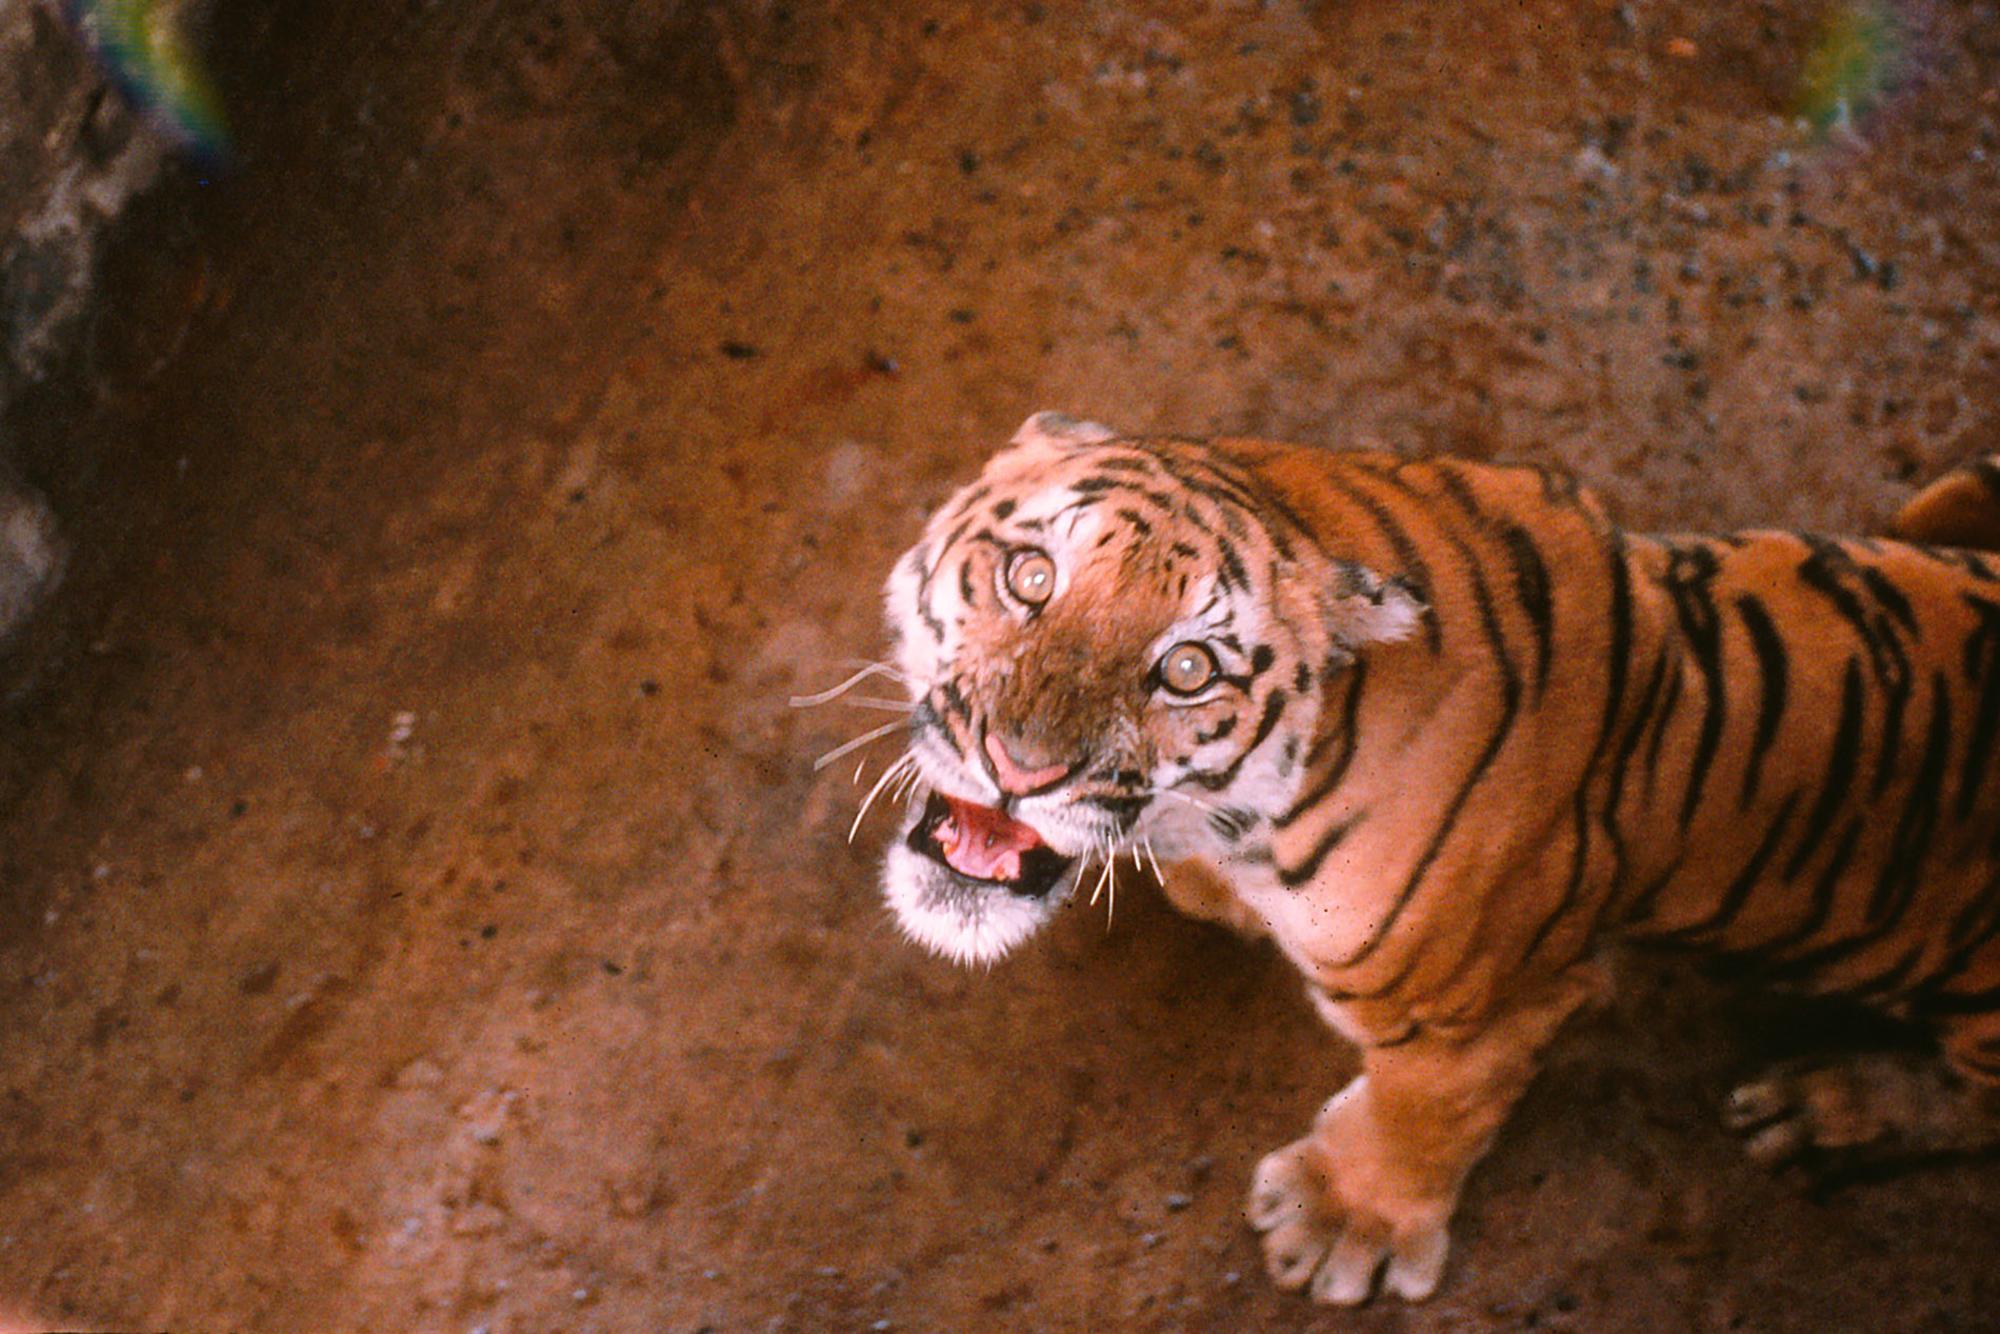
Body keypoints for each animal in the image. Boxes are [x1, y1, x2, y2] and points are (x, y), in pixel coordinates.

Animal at [864, 414, 2000, 1304]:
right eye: (1030, 575)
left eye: (1188, 669)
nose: (1019, 767)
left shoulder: (1479, 1003)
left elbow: (1426, 1110)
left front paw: (1341, 1227)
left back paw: (1823, 1109)